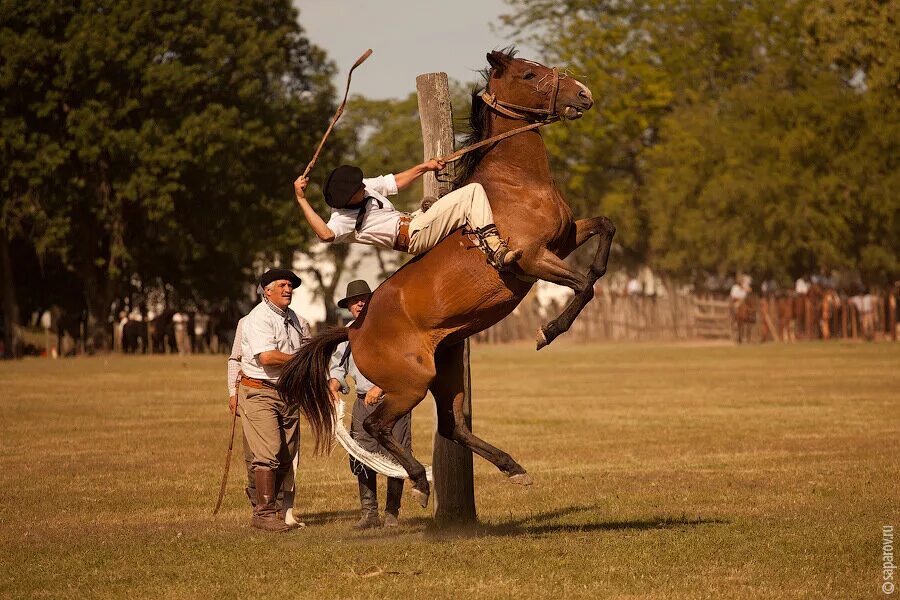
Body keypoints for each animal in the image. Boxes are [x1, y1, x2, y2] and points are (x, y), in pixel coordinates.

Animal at [282, 51, 616, 508]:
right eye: (529, 73)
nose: (583, 93)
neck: (513, 185)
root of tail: (353, 330)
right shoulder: (532, 259)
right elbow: (584, 286)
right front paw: (547, 331)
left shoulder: (564, 242)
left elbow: (604, 233)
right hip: (412, 383)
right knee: (378, 426)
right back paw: (421, 482)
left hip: (448, 368)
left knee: (451, 425)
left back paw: (513, 469)